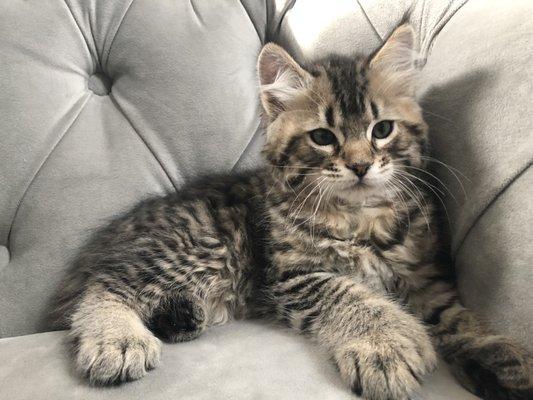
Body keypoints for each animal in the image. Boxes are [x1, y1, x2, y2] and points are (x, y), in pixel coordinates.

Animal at [52, 25, 528, 400]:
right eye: (323, 137)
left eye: (382, 129)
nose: (360, 166)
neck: (360, 217)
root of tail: (108, 238)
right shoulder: (293, 274)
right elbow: (354, 295)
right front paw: (387, 344)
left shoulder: (424, 274)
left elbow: (456, 316)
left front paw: (499, 354)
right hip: (198, 244)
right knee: (103, 287)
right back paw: (116, 339)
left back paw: (181, 315)